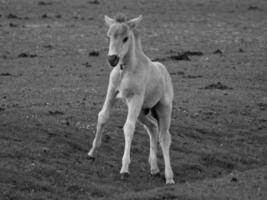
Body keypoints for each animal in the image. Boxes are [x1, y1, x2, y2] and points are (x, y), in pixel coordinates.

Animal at [88, 14, 176, 184]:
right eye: (108, 37)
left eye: (126, 38)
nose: (112, 59)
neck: (126, 69)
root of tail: (164, 71)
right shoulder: (112, 91)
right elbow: (103, 116)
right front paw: (92, 153)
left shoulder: (136, 98)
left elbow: (128, 127)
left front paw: (124, 169)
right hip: (142, 111)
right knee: (152, 127)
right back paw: (154, 168)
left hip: (163, 108)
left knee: (164, 137)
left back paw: (169, 177)